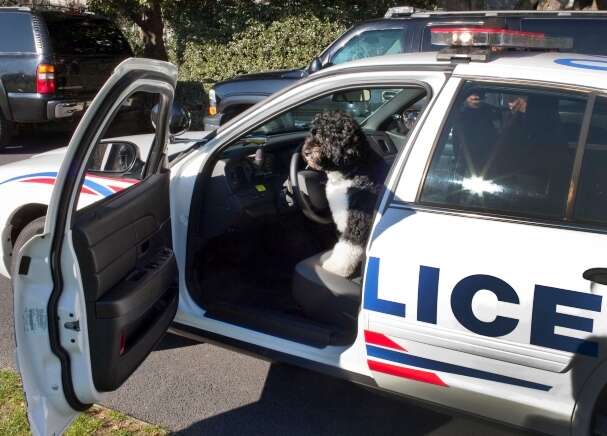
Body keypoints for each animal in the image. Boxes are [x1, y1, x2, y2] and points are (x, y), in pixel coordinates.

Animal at [302, 110, 388, 278]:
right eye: (312, 133)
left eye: (323, 136)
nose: (306, 151)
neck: (353, 169)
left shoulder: (360, 216)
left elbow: (348, 245)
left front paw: (336, 267)